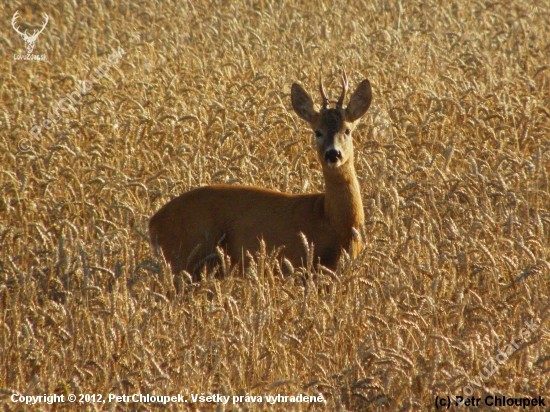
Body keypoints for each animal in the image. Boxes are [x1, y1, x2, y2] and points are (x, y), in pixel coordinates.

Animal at [150, 71, 376, 282]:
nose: (333, 154)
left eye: (347, 130)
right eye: (317, 132)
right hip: (183, 257)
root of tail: (153, 221)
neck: (334, 222)